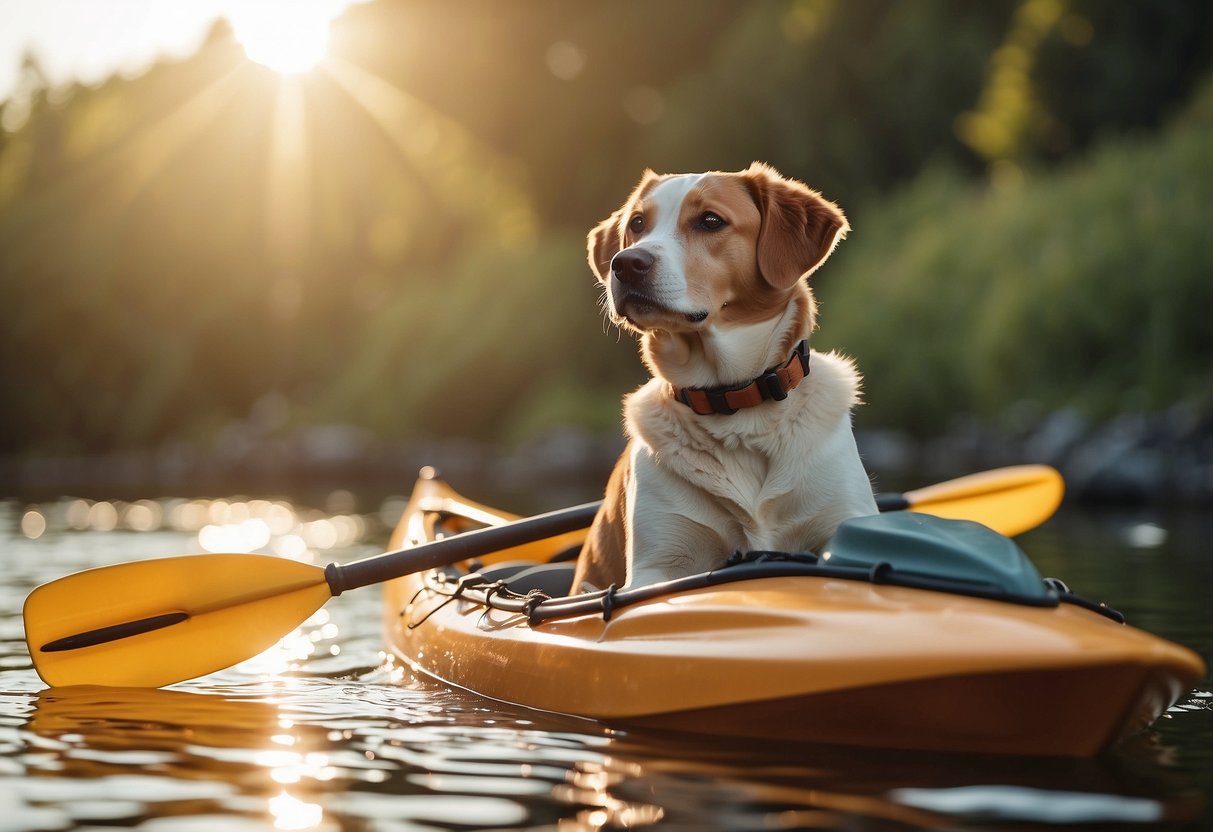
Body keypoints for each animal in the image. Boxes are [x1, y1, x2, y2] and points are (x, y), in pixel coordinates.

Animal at [572, 162, 878, 594]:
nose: (626, 263)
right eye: (637, 223)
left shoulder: (844, 519)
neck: (735, 400)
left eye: (710, 221)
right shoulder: (657, 564)